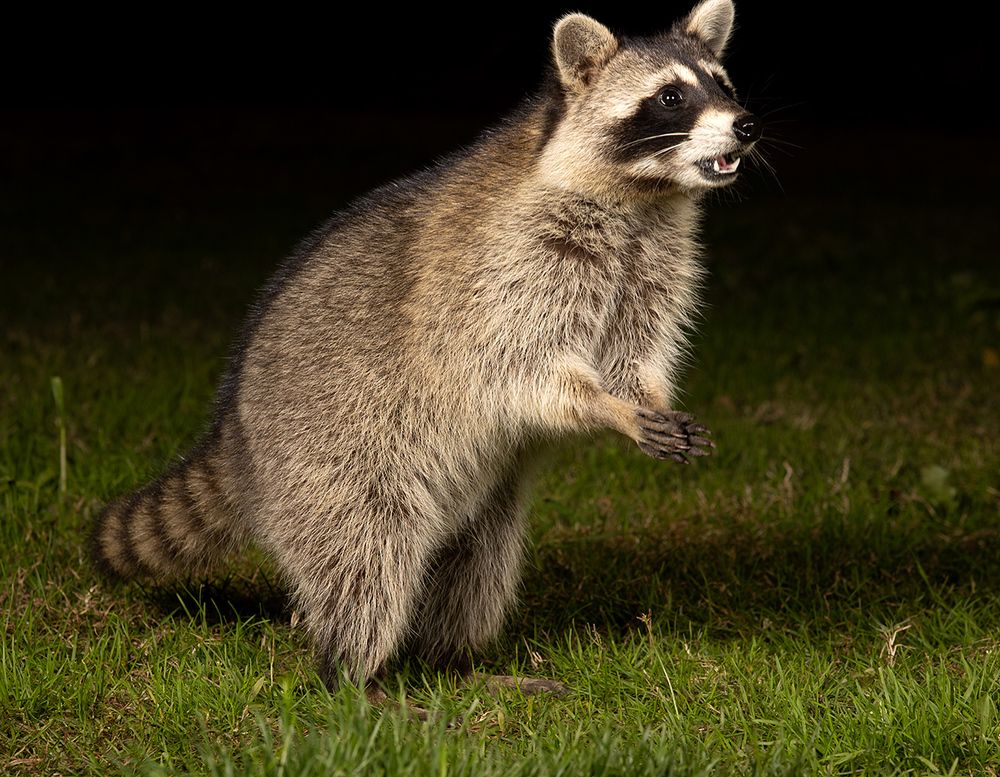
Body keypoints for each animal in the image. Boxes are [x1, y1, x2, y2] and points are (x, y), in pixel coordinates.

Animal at [92, 0, 761, 693]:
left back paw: (453, 662)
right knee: (364, 557)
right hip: (334, 459)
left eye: (724, 83)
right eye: (670, 97)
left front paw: (644, 398)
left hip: (477, 494)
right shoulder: (509, 268)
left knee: (478, 560)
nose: (746, 125)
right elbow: (524, 366)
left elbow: (635, 351)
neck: (644, 197)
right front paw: (610, 409)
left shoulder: (655, 264)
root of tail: (234, 427)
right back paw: (352, 677)